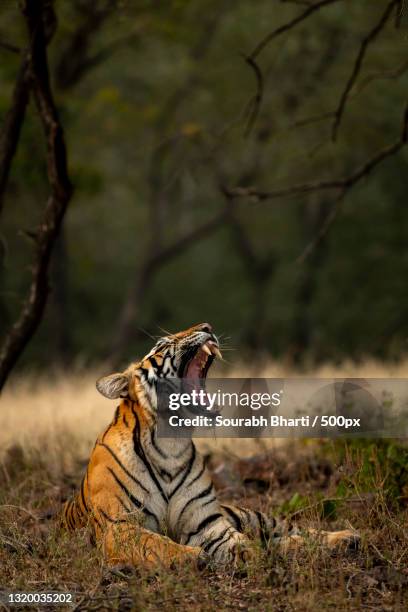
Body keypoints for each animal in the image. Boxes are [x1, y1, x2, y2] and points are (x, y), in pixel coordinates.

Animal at [61, 322, 360, 572]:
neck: (171, 443)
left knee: (294, 530)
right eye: (162, 343)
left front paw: (250, 556)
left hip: (252, 516)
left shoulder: (207, 524)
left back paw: (346, 538)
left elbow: (239, 542)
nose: (207, 326)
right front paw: (193, 556)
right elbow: (155, 543)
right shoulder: (119, 526)